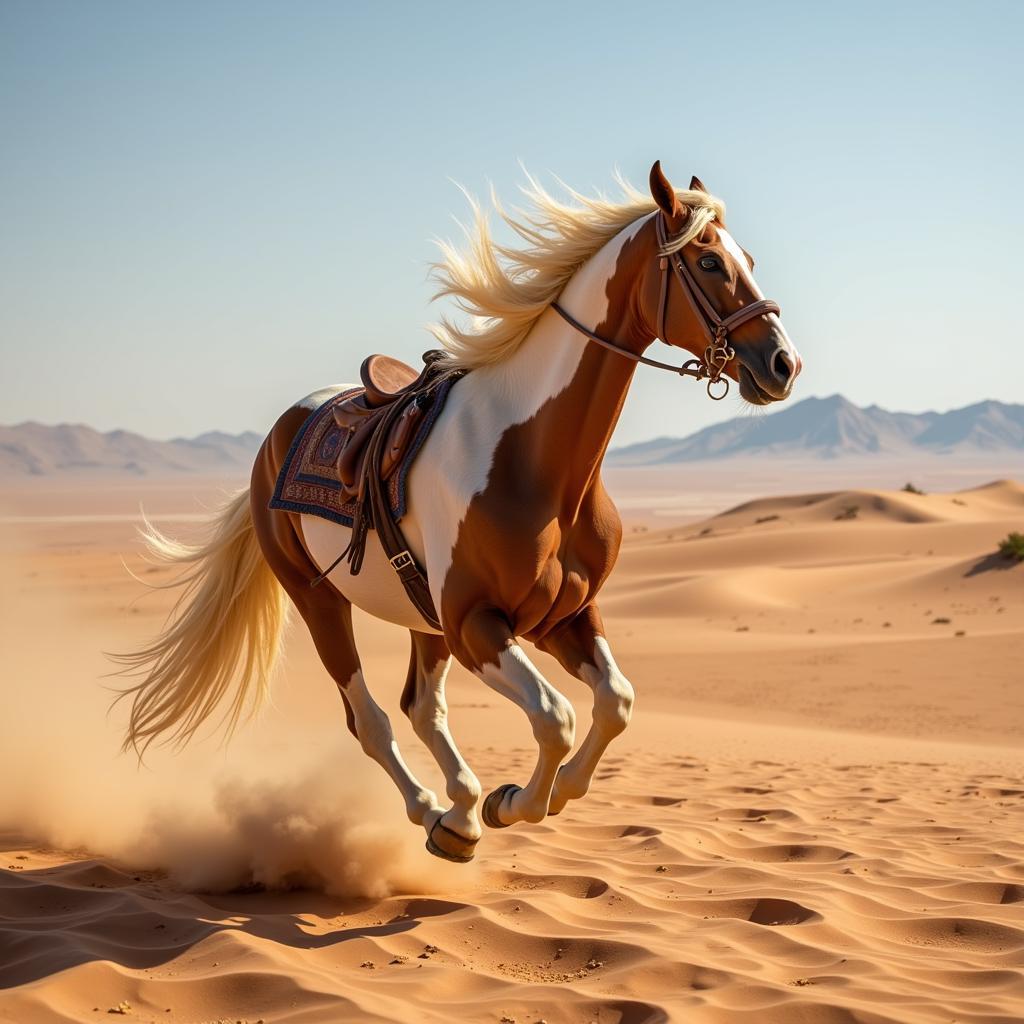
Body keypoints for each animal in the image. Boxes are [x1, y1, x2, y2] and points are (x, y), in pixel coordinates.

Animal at [112, 161, 798, 864]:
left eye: (746, 259)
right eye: (708, 260)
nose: (782, 363)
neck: (534, 460)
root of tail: (279, 433)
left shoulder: (564, 617)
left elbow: (615, 702)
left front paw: (547, 795)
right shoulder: (477, 626)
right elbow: (555, 715)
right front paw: (514, 802)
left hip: (425, 620)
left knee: (422, 708)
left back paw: (460, 815)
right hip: (319, 599)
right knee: (371, 719)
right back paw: (438, 812)